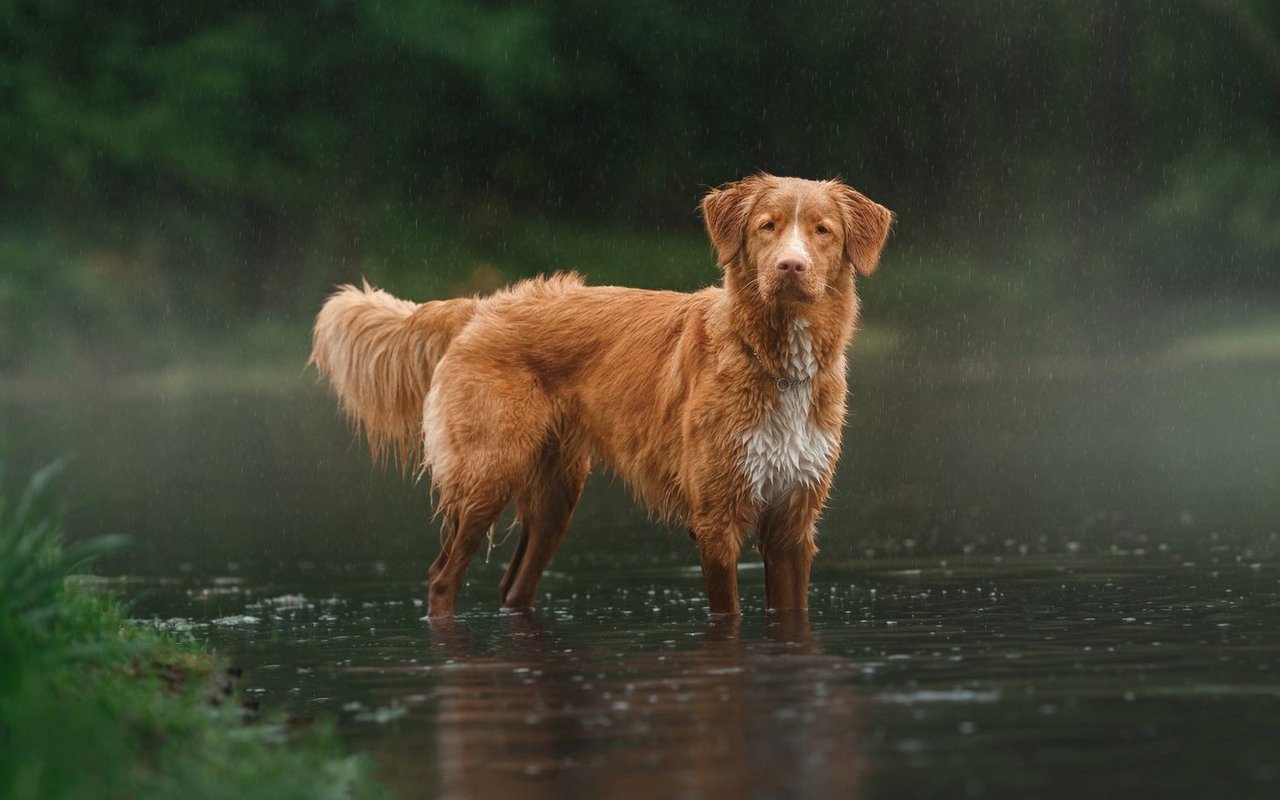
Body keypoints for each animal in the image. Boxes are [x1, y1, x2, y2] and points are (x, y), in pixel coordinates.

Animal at [309, 172, 890, 616]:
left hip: (556, 494)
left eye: (822, 231)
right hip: (486, 475)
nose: (791, 267)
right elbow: (728, 614)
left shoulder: (793, 522)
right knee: (442, 576)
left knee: (513, 587)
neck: (772, 361)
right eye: (766, 227)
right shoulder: (716, 521)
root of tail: (481, 307)